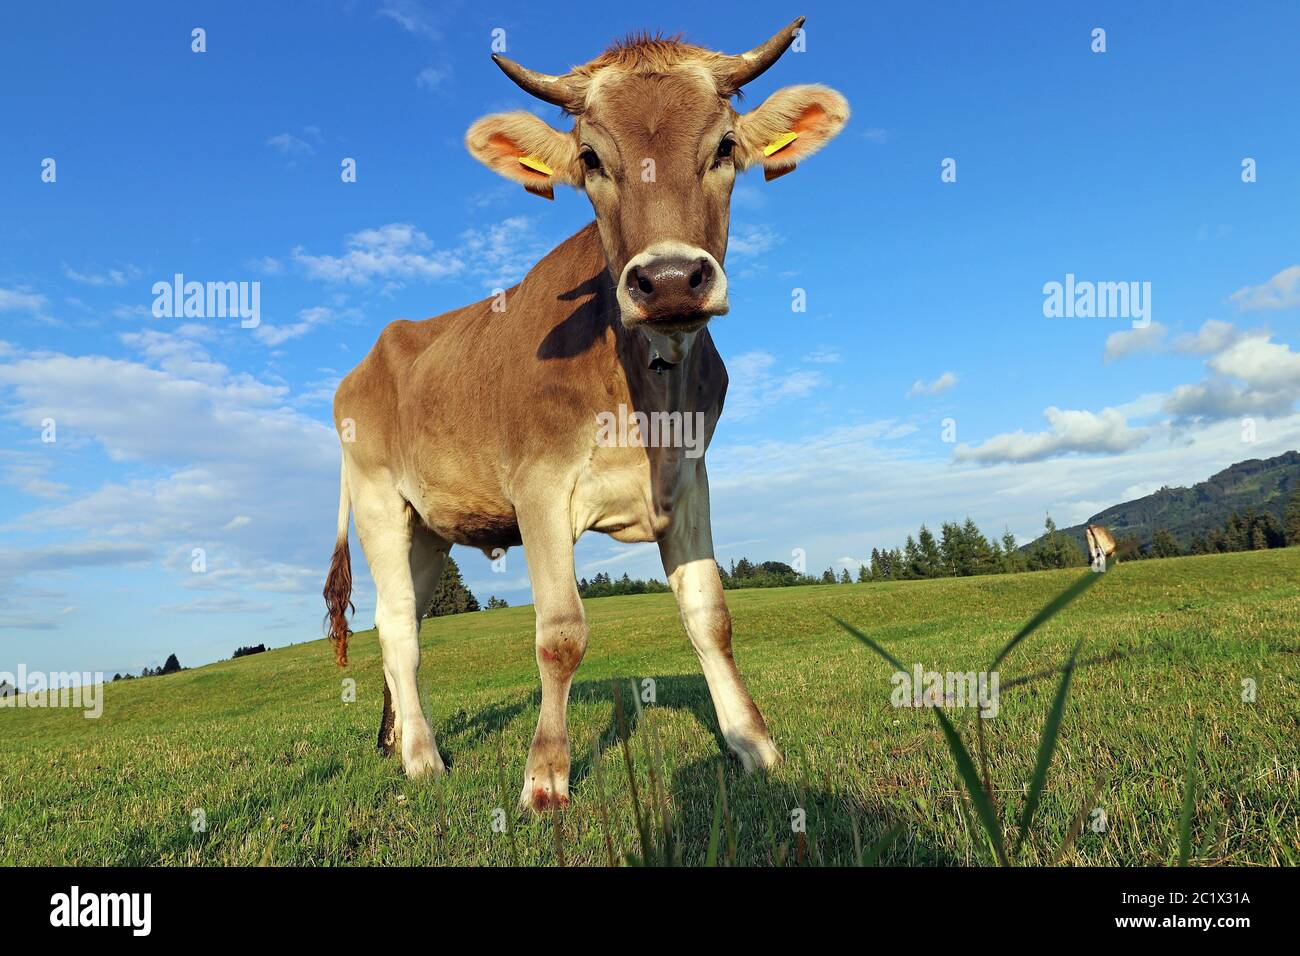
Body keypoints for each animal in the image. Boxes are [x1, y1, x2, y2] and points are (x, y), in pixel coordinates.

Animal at [325, 16, 852, 806]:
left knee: (407, 617)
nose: (671, 279)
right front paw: (545, 775)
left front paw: (751, 743)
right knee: (396, 630)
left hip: (430, 527)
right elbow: (562, 632)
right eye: (590, 158)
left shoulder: (690, 479)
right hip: (379, 500)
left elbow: (711, 616)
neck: (646, 388)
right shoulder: (539, 486)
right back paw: (421, 757)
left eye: (725, 147)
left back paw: (393, 740)